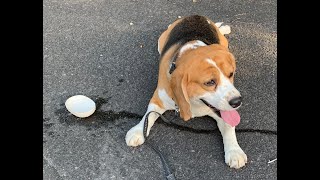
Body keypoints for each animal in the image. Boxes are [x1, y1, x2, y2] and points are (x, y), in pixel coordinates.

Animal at [125, 15, 248, 169]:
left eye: (231, 74)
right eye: (210, 82)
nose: (238, 101)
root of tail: (195, 15)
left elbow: (229, 126)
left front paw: (234, 151)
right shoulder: (158, 99)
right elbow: (149, 115)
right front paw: (137, 131)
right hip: (160, 42)